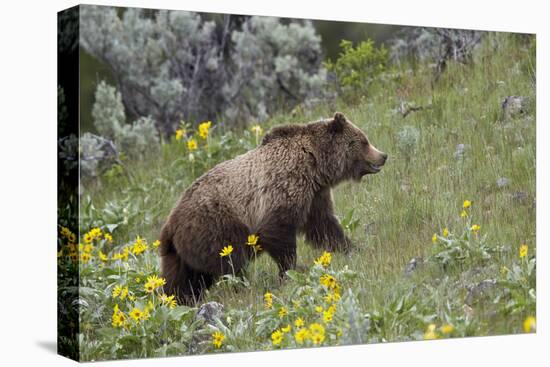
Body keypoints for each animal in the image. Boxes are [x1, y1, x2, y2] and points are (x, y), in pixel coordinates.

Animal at [160, 112, 388, 304]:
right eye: (364, 140)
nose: (383, 155)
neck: (316, 165)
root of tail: (170, 224)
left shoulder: (315, 196)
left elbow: (324, 227)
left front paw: (352, 248)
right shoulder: (283, 188)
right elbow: (279, 233)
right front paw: (289, 271)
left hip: (181, 253)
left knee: (182, 280)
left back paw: (178, 300)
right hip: (215, 226)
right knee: (230, 263)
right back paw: (241, 287)